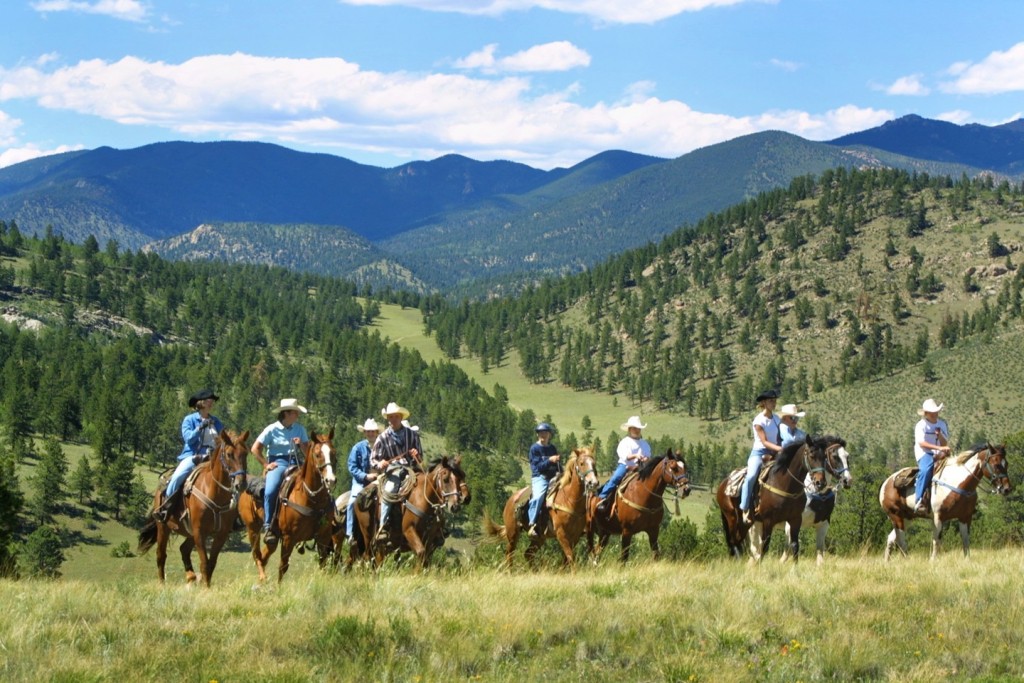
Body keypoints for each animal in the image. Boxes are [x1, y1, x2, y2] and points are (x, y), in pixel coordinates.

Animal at [138, 430, 249, 585]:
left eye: (245, 453)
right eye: (229, 454)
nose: (241, 484)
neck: (213, 491)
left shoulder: (220, 534)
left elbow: (211, 564)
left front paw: (206, 586)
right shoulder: (199, 532)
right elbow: (204, 563)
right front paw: (205, 587)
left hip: (189, 533)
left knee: (184, 549)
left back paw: (190, 576)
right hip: (163, 526)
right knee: (161, 555)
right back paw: (162, 584)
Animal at [237, 428, 337, 581]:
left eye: (333, 453)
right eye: (317, 454)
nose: (330, 480)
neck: (311, 498)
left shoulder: (323, 537)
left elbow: (323, 564)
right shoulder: (289, 538)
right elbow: (283, 567)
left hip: (272, 538)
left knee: (264, 555)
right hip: (252, 529)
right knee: (257, 556)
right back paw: (263, 578)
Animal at [716, 436, 827, 565]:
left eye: (824, 457)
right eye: (811, 455)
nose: (821, 483)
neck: (785, 484)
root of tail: (723, 483)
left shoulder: (795, 519)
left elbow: (795, 545)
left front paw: (795, 567)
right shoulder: (768, 521)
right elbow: (765, 546)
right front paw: (760, 565)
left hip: (746, 522)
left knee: (739, 541)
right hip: (731, 518)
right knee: (734, 541)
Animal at [876, 444, 1011, 561]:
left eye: (1007, 464)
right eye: (996, 464)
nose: (1007, 489)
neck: (958, 483)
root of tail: (886, 482)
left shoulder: (965, 517)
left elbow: (965, 540)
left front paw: (967, 560)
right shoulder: (938, 517)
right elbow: (936, 540)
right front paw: (933, 561)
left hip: (907, 518)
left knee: (891, 538)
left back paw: (887, 562)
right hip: (896, 516)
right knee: (901, 540)